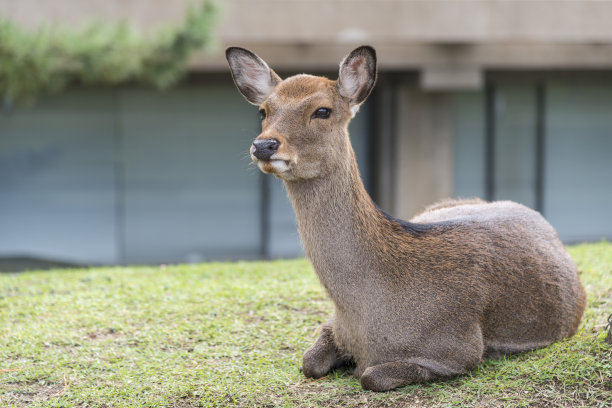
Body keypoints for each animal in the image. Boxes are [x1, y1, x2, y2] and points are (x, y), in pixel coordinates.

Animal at [226, 45, 588, 392]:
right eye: (264, 111)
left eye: (322, 110)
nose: (264, 145)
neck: (365, 319)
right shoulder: (333, 325)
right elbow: (309, 362)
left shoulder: (460, 347)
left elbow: (371, 377)